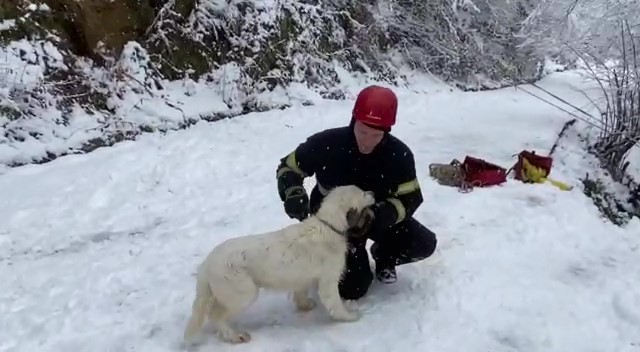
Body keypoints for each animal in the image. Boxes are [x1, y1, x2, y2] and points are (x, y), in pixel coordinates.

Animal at [182, 186, 376, 346]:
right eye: (362, 193)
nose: (373, 193)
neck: (328, 226)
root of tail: (206, 265)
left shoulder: (303, 277)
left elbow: (301, 292)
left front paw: (305, 305)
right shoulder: (328, 280)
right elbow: (335, 303)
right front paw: (350, 316)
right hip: (243, 293)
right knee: (216, 315)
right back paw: (235, 336)